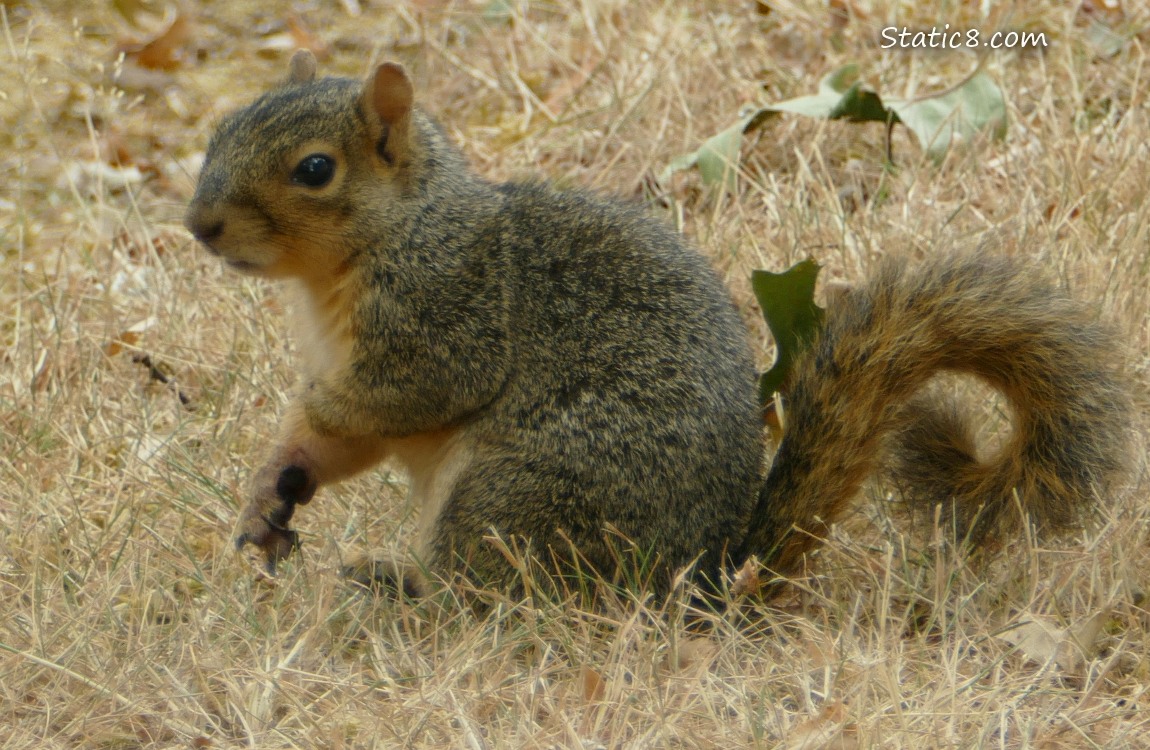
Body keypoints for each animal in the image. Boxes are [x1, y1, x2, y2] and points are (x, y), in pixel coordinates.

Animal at [184, 50, 1129, 596]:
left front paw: (288, 449)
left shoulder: (443, 316)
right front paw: (268, 494)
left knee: (489, 592)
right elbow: (346, 441)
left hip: (521, 492)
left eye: (315, 170)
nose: (200, 226)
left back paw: (393, 588)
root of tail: (701, 580)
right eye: (221, 126)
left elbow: (390, 401)